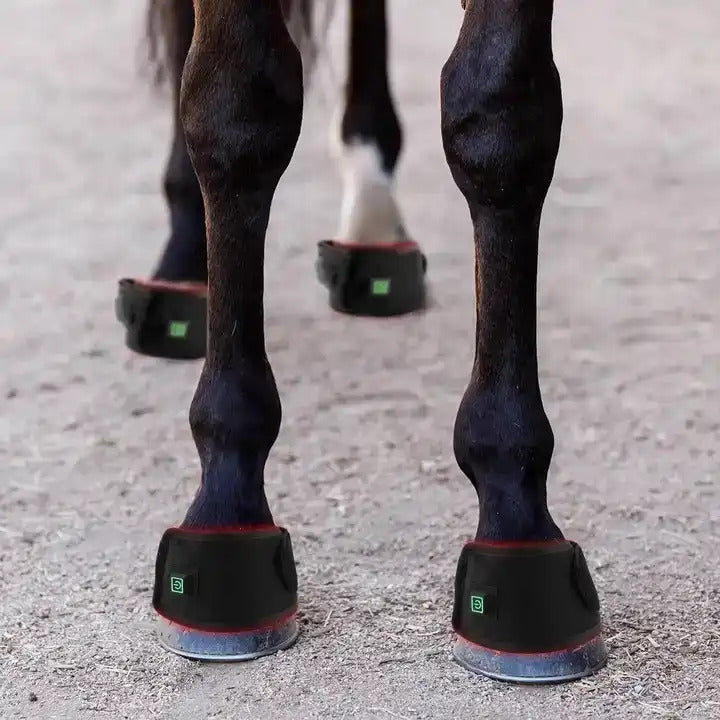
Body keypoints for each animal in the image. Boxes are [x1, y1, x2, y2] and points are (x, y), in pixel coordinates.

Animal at [121, 0, 608, 683]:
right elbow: (235, 108)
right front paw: (226, 505)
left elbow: (501, 117)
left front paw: (515, 513)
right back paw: (182, 265)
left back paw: (374, 222)